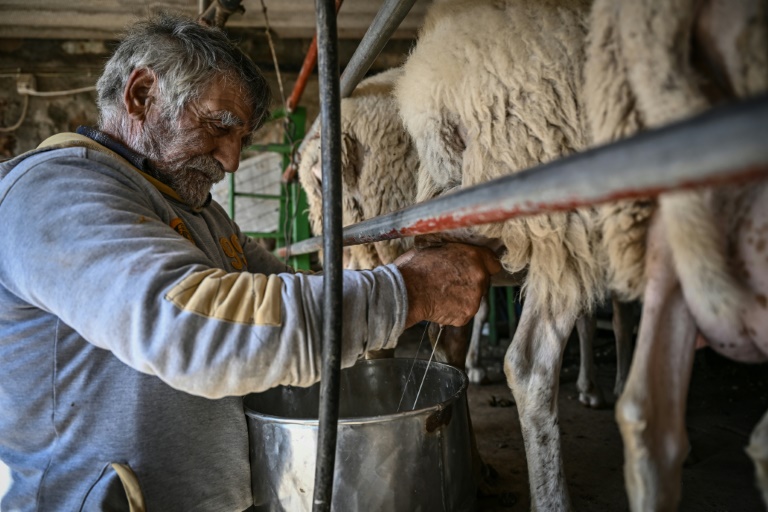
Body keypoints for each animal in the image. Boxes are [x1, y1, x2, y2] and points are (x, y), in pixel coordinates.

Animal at [396, 0, 768, 508]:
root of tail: (433, 83)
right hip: (565, 214)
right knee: (529, 363)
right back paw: (552, 496)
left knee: (450, 340)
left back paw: (479, 464)